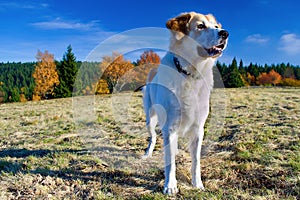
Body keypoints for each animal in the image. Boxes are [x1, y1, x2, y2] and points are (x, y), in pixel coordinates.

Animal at [142, 11, 229, 195]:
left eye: (216, 26)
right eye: (201, 26)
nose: (225, 33)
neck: (189, 73)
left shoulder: (198, 129)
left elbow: (196, 161)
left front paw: (197, 184)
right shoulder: (170, 127)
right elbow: (170, 163)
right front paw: (170, 186)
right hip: (150, 118)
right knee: (153, 137)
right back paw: (147, 153)